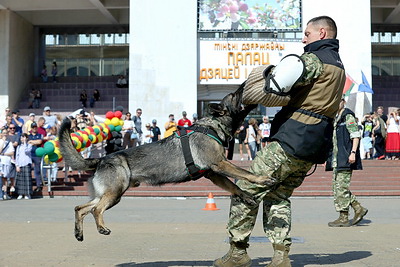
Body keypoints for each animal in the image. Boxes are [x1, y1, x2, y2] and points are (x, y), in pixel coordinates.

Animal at [58, 84, 276, 243]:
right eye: (235, 94)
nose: (245, 84)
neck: (214, 126)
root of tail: (102, 158)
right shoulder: (220, 164)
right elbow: (245, 174)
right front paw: (263, 179)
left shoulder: (213, 173)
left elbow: (233, 185)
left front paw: (246, 196)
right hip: (114, 193)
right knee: (95, 210)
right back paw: (102, 227)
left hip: (108, 194)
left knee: (80, 208)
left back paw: (79, 233)